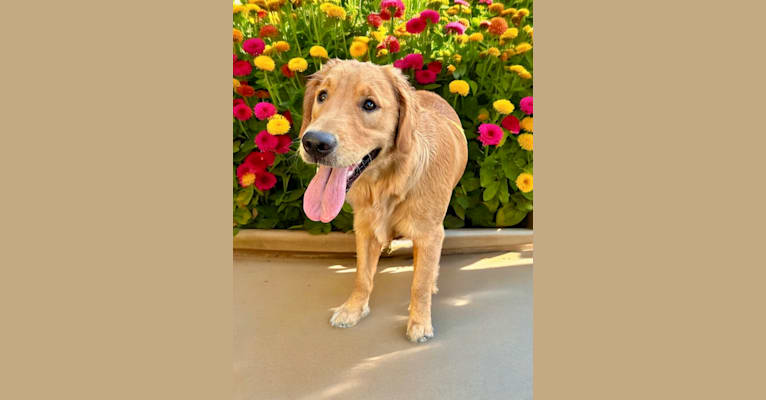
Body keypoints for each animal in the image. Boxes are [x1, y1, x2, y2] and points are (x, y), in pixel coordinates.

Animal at [300, 59, 468, 344]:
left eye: (370, 104)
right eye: (322, 96)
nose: (314, 142)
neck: (388, 184)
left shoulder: (429, 233)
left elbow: (419, 283)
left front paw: (419, 322)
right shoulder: (365, 229)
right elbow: (362, 277)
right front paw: (353, 309)